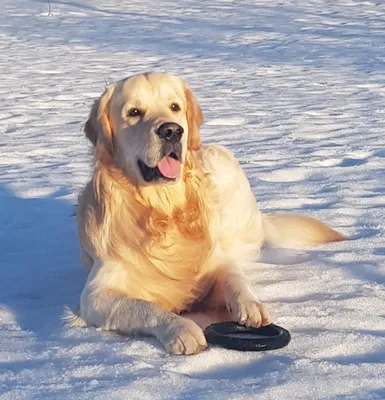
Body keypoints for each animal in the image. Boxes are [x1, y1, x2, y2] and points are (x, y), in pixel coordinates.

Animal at [63, 73, 344, 354]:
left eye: (175, 107)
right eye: (134, 112)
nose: (172, 131)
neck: (163, 210)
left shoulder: (215, 261)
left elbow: (233, 277)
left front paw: (251, 306)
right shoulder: (96, 295)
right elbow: (142, 307)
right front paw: (181, 329)